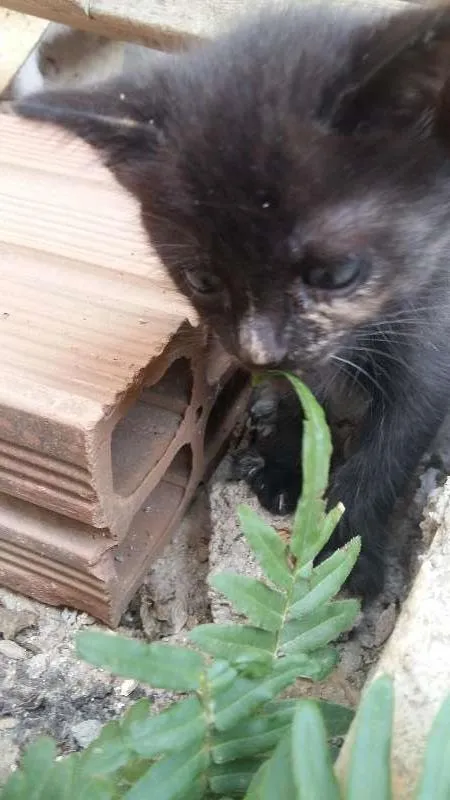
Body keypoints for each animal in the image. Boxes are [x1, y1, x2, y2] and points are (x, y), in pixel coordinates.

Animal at [15, 3, 450, 596]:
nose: (259, 353)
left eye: (336, 274)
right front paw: (288, 467)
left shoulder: (431, 344)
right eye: (201, 280)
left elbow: (390, 450)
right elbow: (302, 403)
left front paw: (348, 552)